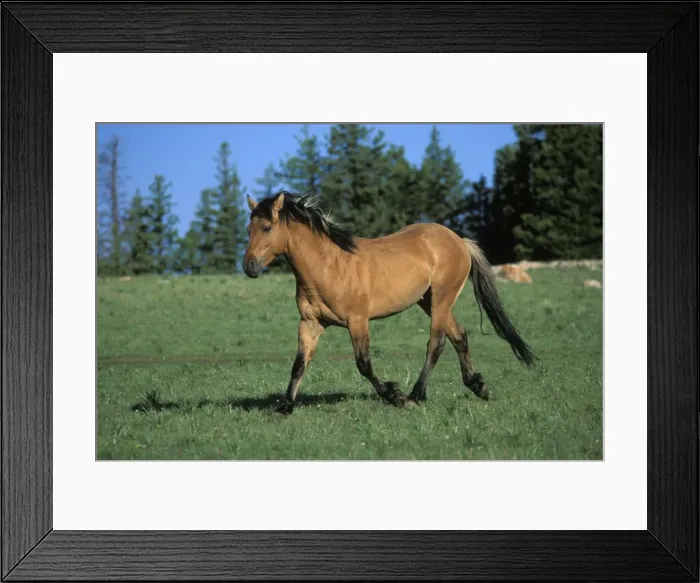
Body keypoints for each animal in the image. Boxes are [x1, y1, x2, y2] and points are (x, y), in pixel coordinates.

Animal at [242, 190, 536, 415]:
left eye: (267, 227)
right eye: (248, 230)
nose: (249, 267)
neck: (329, 267)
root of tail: (459, 241)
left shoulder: (357, 321)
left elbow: (364, 364)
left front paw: (394, 395)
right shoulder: (310, 323)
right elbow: (299, 364)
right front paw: (284, 406)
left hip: (442, 299)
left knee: (437, 343)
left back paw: (415, 396)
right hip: (428, 301)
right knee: (459, 336)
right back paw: (478, 386)